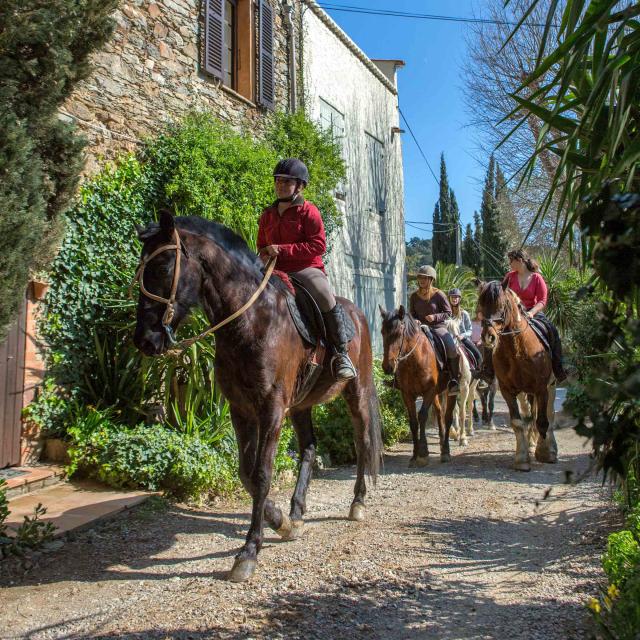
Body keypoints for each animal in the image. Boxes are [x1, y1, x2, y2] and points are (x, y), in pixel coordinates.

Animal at [130, 212, 380, 584]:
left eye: (162, 266)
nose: (145, 340)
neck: (252, 320)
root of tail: (357, 313)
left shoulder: (271, 408)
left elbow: (262, 473)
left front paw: (249, 551)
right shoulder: (240, 409)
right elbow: (246, 473)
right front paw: (279, 520)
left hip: (356, 392)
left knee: (361, 442)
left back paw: (358, 503)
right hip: (302, 405)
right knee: (309, 448)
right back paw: (297, 513)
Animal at [378, 304, 458, 464]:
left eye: (398, 334)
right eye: (382, 332)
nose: (387, 367)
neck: (414, 360)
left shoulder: (429, 391)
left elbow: (422, 416)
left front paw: (423, 454)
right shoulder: (407, 394)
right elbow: (413, 421)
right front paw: (415, 455)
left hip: (450, 392)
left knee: (447, 417)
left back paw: (445, 451)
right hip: (436, 394)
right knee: (439, 413)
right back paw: (441, 444)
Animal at [478, 280, 556, 470]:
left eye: (501, 305)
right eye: (481, 305)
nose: (488, 337)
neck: (517, 349)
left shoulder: (541, 388)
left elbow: (542, 420)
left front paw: (544, 452)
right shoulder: (508, 390)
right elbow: (518, 422)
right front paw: (522, 458)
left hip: (550, 385)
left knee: (548, 414)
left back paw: (548, 447)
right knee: (529, 415)